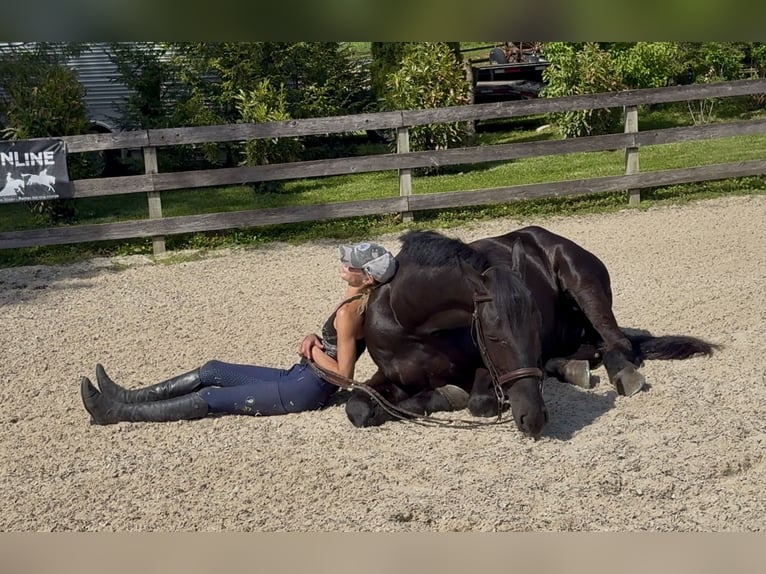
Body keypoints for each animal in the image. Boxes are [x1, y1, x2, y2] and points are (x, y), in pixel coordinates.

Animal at [344, 226, 717, 438]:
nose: (535, 419)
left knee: (618, 344)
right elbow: (357, 408)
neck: (410, 323)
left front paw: (450, 395)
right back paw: (570, 367)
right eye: (494, 337)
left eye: (533, 331)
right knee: (589, 348)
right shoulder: (389, 375)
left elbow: (477, 401)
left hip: (584, 284)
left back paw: (620, 373)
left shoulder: (483, 370)